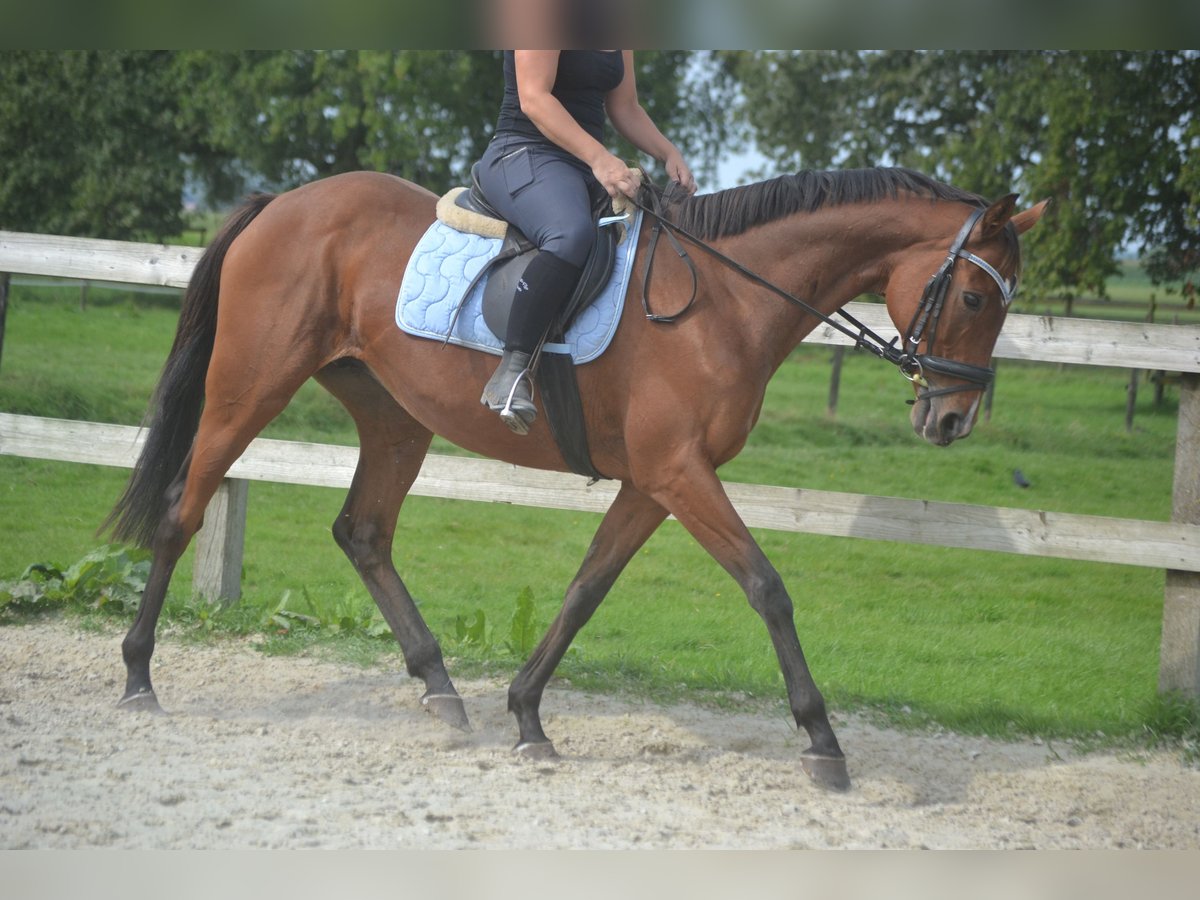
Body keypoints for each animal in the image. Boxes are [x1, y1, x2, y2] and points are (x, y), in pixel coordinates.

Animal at [110, 168, 1051, 787]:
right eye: (975, 299)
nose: (953, 420)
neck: (723, 300)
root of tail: (284, 202)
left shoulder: (653, 482)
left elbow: (587, 588)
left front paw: (527, 715)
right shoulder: (679, 473)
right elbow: (767, 586)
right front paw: (822, 741)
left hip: (393, 416)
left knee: (363, 533)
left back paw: (442, 691)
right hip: (249, 387)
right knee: (182, 512)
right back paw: (138, 679)